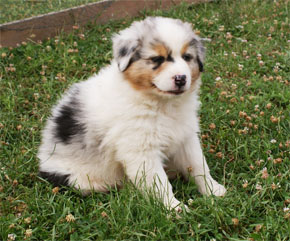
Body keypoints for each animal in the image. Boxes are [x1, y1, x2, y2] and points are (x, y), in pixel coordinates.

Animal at [37, 17, 225, 210]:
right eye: (157, 59)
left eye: (187, 57)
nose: (181, 79)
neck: (162, 103)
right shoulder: (141, 149)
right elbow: (159, 182)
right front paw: (174, 208)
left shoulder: (185, 137)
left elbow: (198, 165)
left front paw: (214, 190)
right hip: (78, 179)